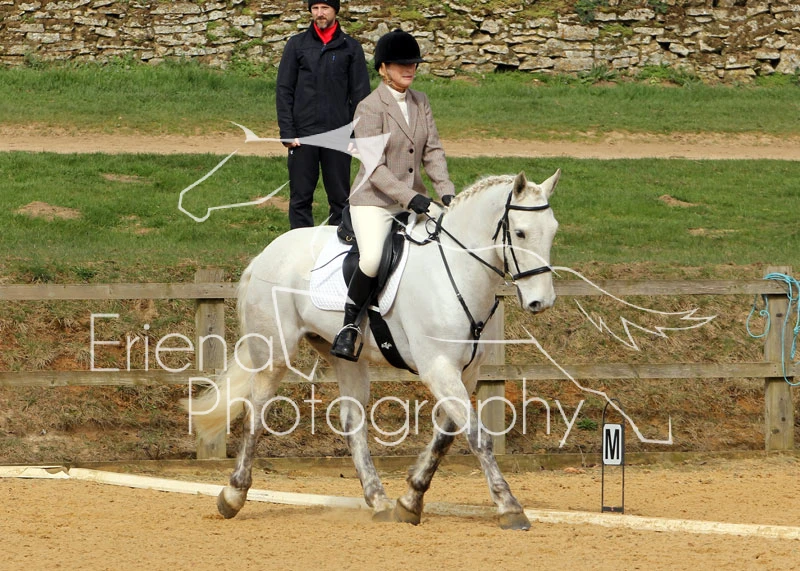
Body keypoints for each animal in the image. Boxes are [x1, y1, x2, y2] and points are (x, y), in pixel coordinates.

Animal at [187, 169, 561, 530]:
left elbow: (446, 437)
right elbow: (478, 437)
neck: (456, 272)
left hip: (345, 357)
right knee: (256, 413)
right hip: (273, 354)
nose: (540, 302)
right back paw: (233, 495)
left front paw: (410, 500)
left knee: (352, 420)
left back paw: (378, 499)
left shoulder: (465, 374)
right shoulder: (439, 368)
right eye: (521, 233)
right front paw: (509, 507)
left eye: (553, 231)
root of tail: (267, 253)